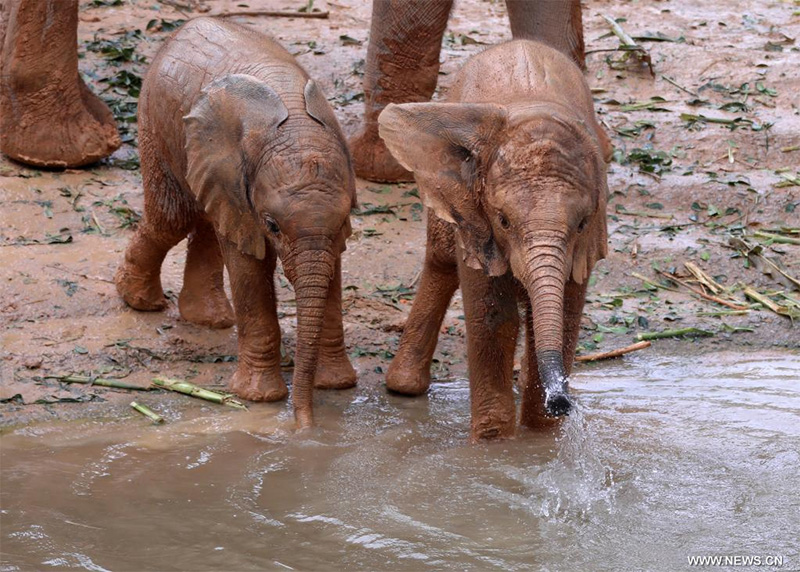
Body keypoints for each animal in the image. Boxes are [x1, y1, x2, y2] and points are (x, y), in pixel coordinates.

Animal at [115, 17, 356, 426]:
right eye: (272, 226)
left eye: (343, 224)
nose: (304, 428)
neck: (296, 130)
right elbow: (249, 269)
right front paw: (259, 397)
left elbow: (332, 273)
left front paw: (338, 386)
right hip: (157, 121)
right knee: (172, 218)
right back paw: (140, 302)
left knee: (206, 221)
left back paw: (210, 320)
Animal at [382, 40, 612, 440]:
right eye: (503, 220)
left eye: (582, 224)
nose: (561, 401)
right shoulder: (477, 219)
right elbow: (493, 319)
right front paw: (494, 444)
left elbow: (564, 316)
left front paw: (542, 436)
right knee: (440, 260)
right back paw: (404, 386)